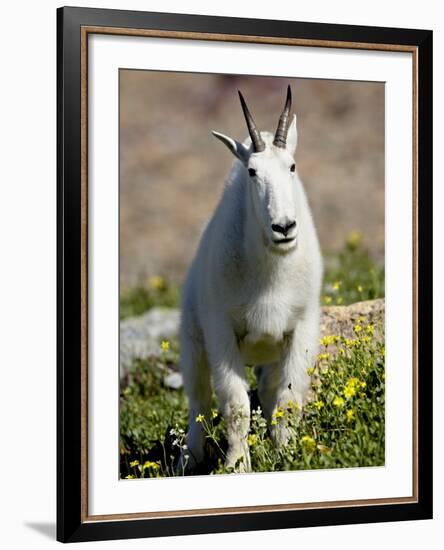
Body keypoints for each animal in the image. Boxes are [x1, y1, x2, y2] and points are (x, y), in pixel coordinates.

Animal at [180, 87, 322, 474]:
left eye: (292, 166)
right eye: (252, 171)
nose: (284, 227)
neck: (271, 272)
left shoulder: (301, 327)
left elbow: (289, 398)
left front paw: (287, 455)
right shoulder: (221, 330)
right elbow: (236, 406)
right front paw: (237, 465)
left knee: (270, 392)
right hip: (193, 339)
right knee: (198, 401)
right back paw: (189, 458)